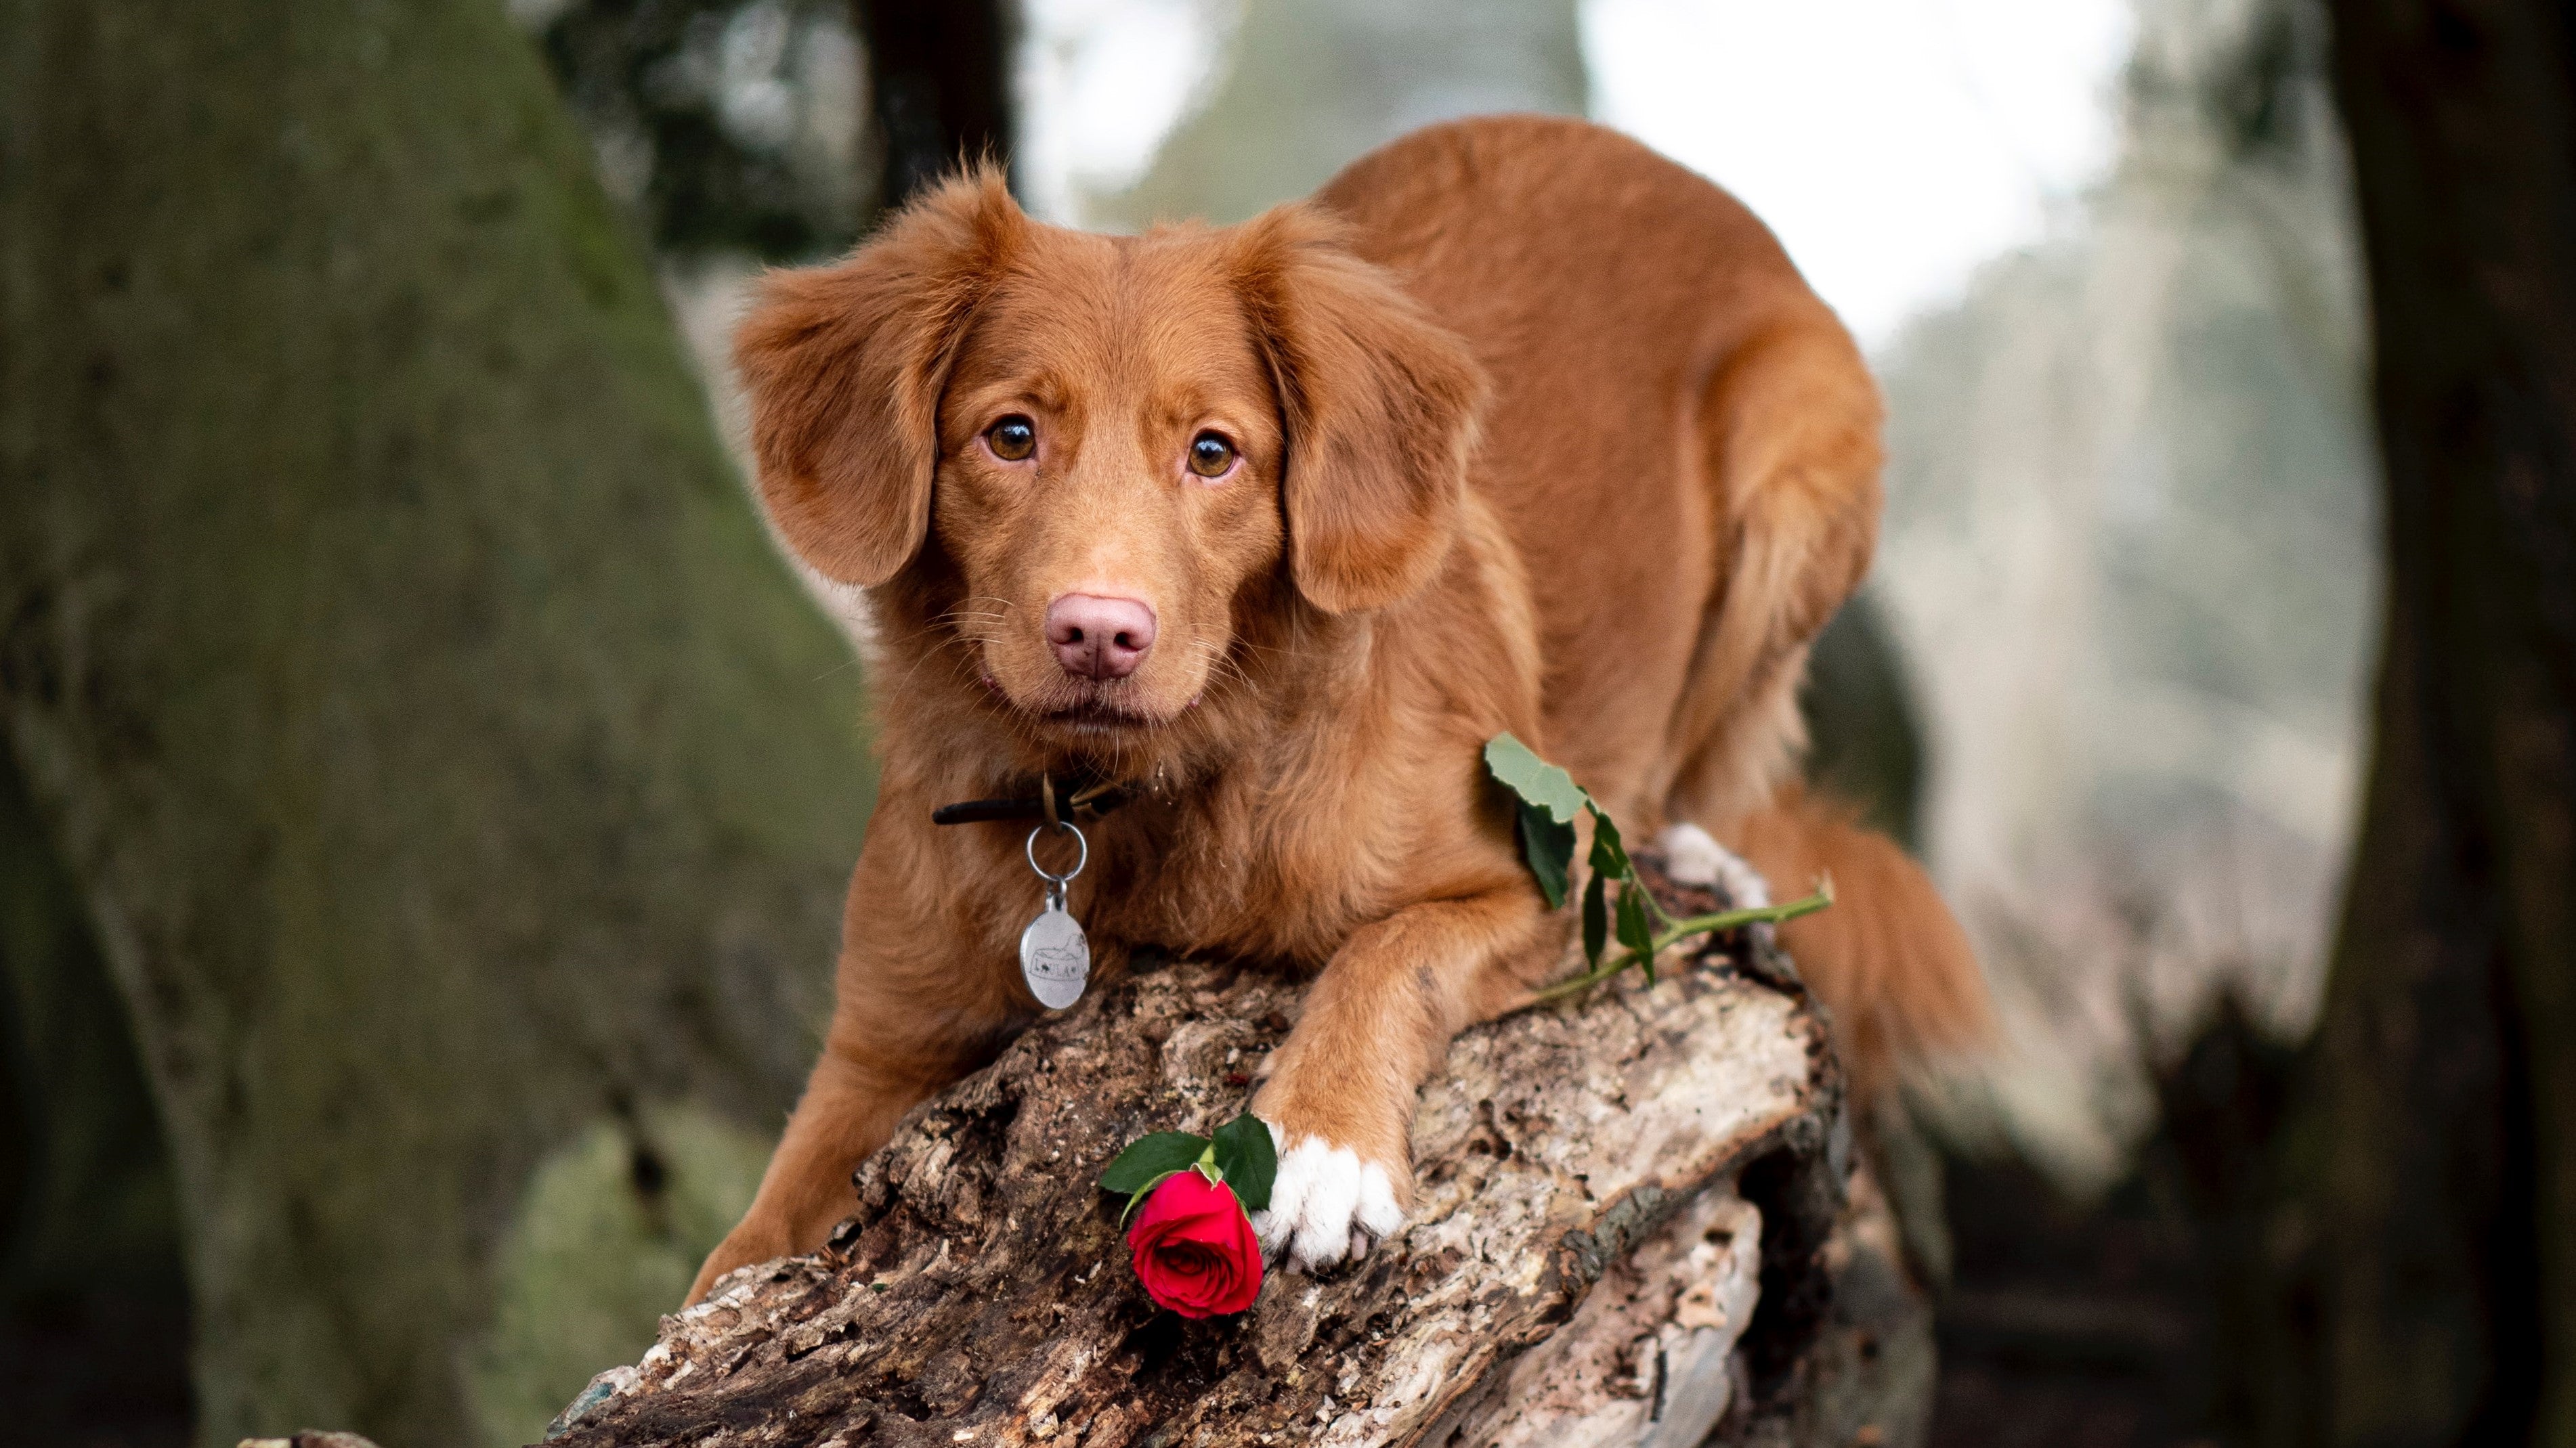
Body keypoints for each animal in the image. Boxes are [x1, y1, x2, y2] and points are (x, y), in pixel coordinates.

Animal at [690, 115, 1988, 1298]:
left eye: (1213, 452)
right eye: (1010, 435)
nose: (1099, 633)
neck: (1149, 804)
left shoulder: (1541, 876)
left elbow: (1387, 950)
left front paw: (1319, 1142)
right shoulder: (874, 1056)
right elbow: (729, 1265)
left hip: (1797, 471)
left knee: (1710, 769)